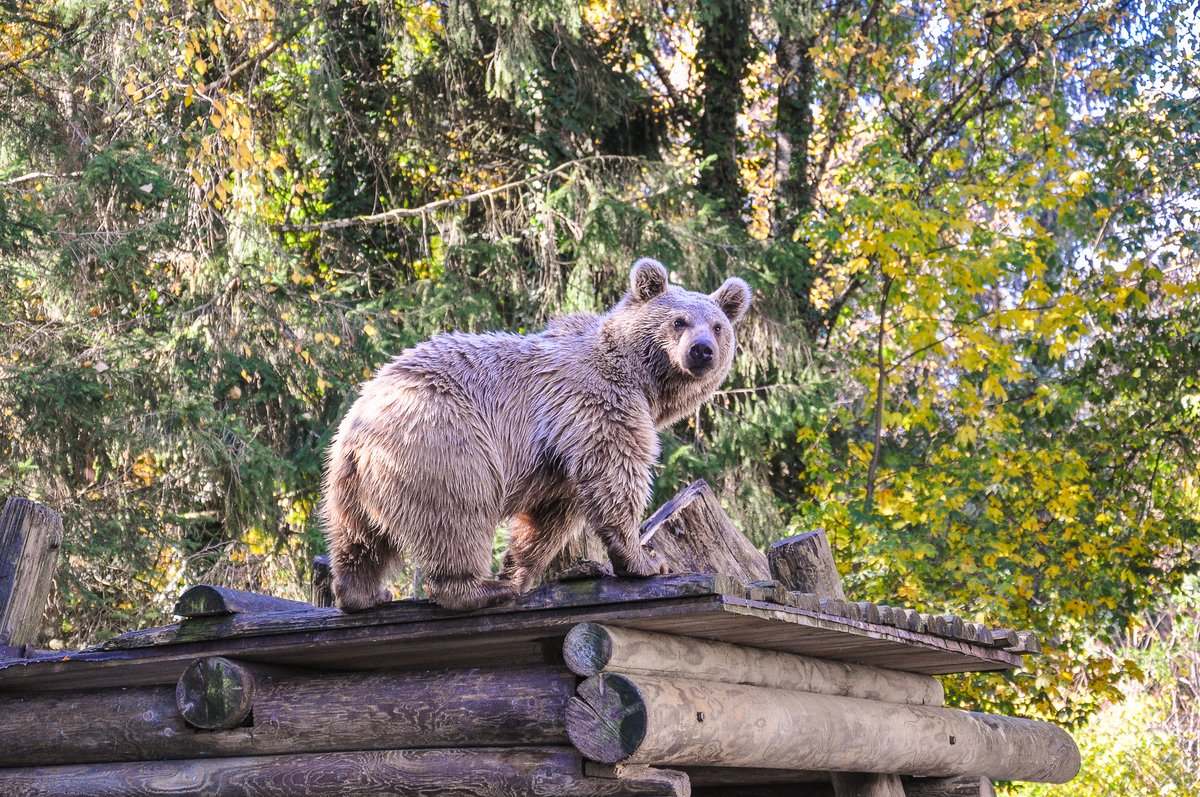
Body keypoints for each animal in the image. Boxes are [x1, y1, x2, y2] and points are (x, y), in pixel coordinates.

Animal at [319, 258, 748, 612]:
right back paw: (479, 589)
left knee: (357, 536)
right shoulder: (596, 406)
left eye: (718, 327)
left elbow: (551, 514)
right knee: (457, 516)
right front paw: (645, 560)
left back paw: (363, 593)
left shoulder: (560, 452)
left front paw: (520, 570)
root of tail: (362, 429)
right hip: (444, 442)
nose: (702, 350)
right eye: (678, 321)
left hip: (346, 476)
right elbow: (616, 479)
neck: (641, 381)